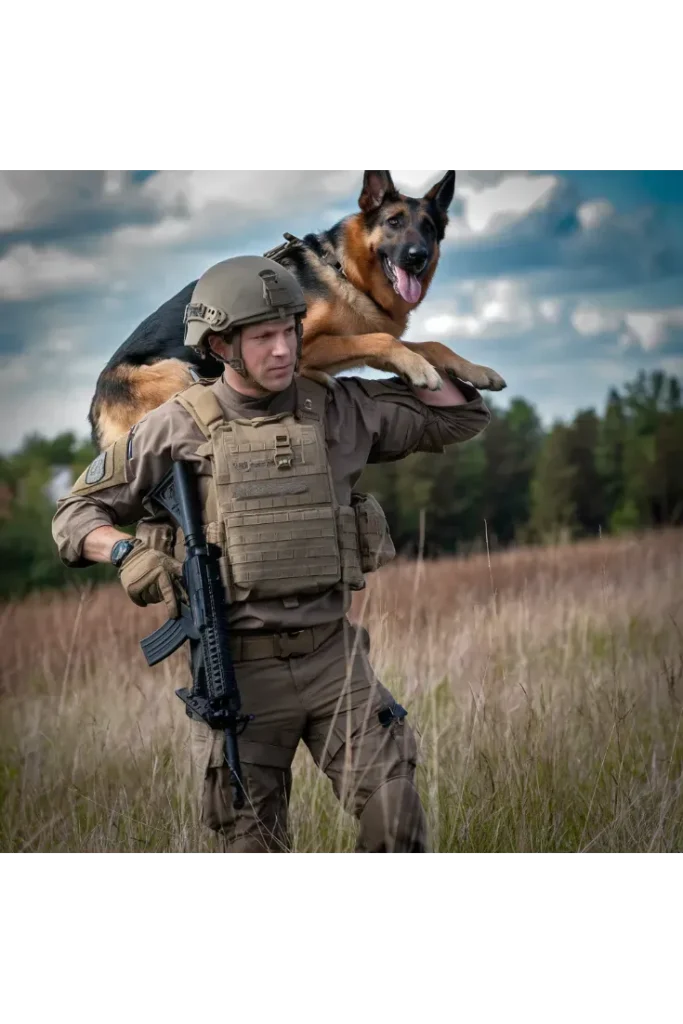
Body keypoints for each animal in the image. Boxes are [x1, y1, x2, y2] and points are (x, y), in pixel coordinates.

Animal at [89, 169, 507, 450]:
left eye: (430, 229)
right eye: (393, 222)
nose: (417, 257)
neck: (343, 270)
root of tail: (94, 408)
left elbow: (428, 344)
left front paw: (475, 370)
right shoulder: (308, 346)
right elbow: (384, 339)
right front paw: (419, 369)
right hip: (178, 373)